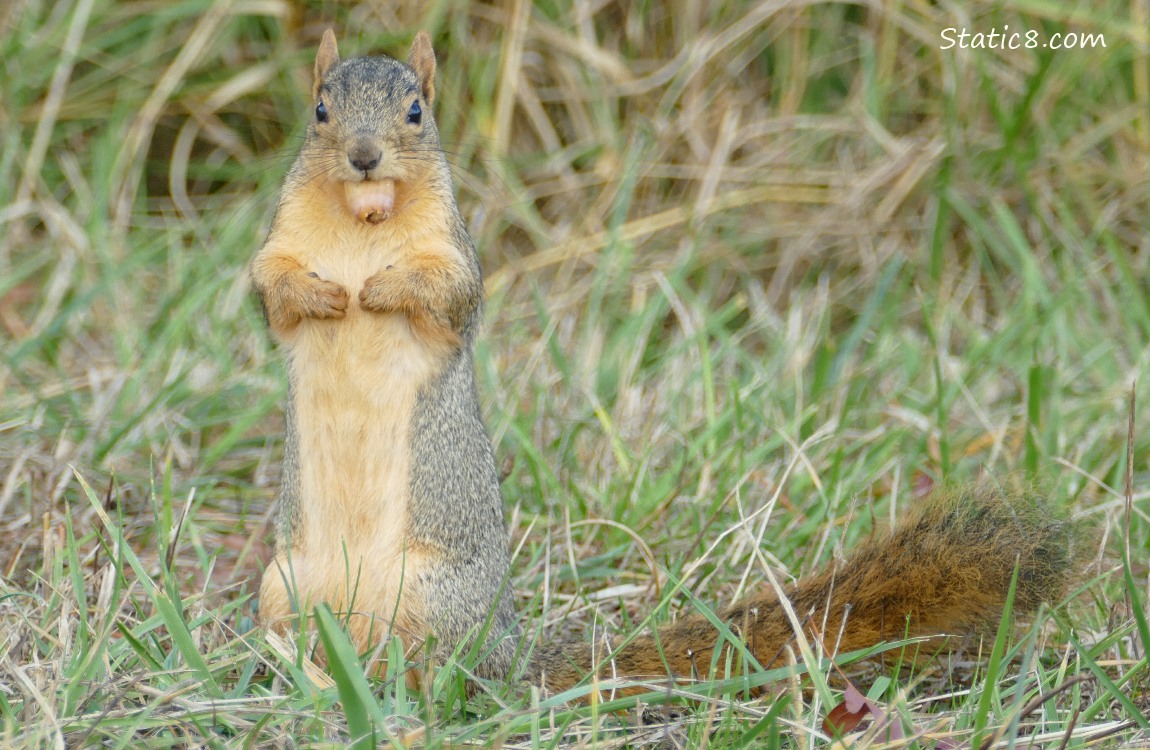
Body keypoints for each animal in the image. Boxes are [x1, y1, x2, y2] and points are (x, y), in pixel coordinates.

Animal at [252, 30, 1076, 694]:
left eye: (417, 111)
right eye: (319, 110)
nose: (364, 157)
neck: (365, 221)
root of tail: (508, 656)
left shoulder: (454, 257)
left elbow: (446, 295)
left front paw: (378, 289)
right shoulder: (278, 243)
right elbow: (270, 289)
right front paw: (323, 293)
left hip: (429, 595)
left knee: (441, 678)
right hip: (281, 584)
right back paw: (306, 678)